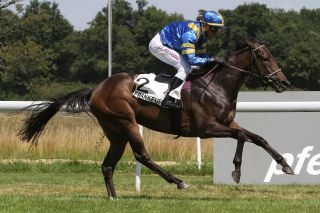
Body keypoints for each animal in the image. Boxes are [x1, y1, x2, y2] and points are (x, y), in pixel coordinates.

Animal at [16, 37, 292, 200]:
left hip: (114, 131)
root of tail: (96, 88)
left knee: (108, 164)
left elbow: (256, 137)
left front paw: (284, 164)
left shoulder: (226, 123)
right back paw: (178, 182)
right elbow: (244, 135)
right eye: (265, 57)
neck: (216, 85)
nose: (284, 83)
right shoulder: (207, 128)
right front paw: (237, 170)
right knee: (142, 155)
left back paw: (114, 197)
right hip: (126, 121)